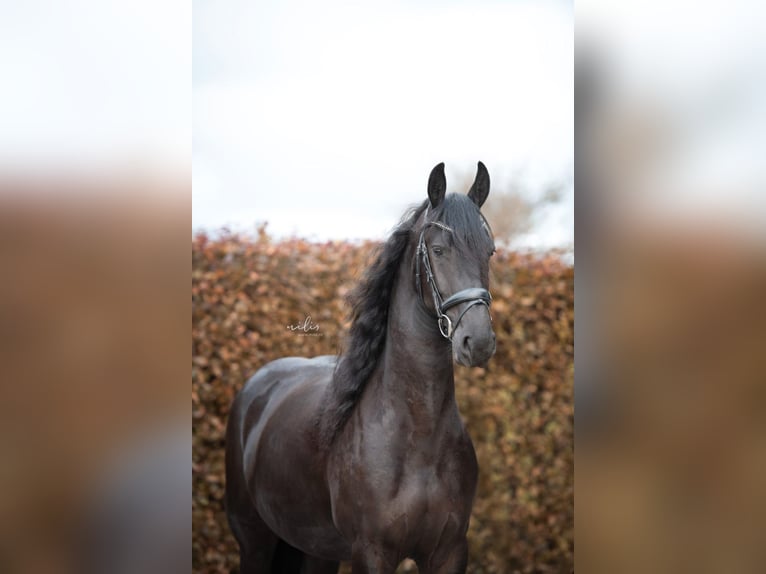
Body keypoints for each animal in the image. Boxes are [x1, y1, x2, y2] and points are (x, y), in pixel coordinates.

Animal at [225, 162, 497, 574]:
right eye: (438, 250)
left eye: (490, 251)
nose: (478, 341)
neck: (417, 435)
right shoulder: (371, 552)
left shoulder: (450, 551)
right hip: (253, 539)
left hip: (316, 550)